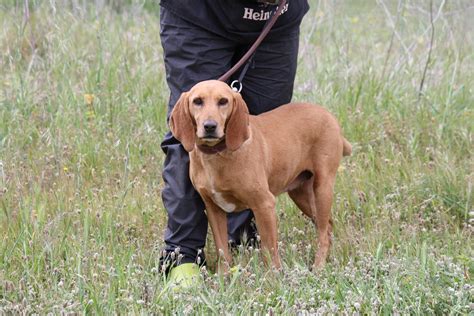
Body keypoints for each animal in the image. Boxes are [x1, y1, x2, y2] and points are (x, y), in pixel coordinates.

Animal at [168, 79, 350, 272]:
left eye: (223, 101)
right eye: (197, 101)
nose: (210, 126)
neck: (216, 154)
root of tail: (329, 115)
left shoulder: (264, 204)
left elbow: (270, 253)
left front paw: (274, 277)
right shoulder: (213, 209)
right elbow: (222, 251)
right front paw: (223, 277)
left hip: (322, 189)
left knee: (323, 233)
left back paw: (319, 266)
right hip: (302, 195)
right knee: (328, 226)